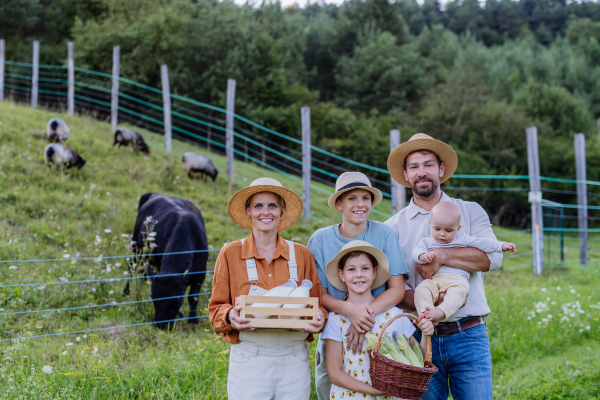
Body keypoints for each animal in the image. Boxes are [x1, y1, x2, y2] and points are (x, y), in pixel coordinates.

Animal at [130, 193, 207, 328]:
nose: (162, 326)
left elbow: (194, 297)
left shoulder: (201, 272)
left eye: (176, 300)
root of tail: (156, 194)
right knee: (132, 268)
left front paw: (193, 320)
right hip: (136, 247)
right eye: (153, 297)